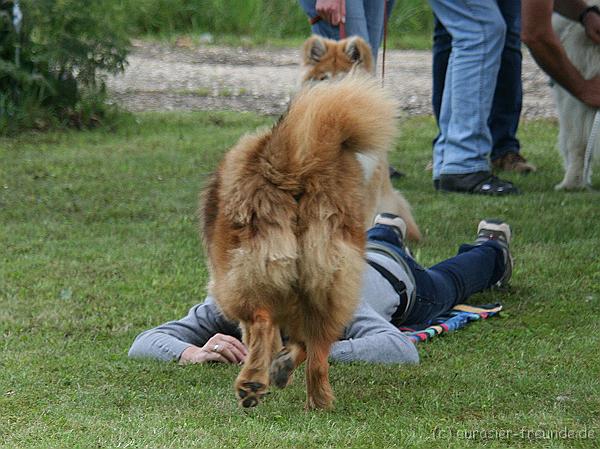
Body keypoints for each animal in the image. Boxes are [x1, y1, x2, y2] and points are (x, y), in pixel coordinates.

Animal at [200, 74, 398, 410]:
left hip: (236, 284)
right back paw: (313, 398)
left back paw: (252, 383)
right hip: (331, 282)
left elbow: (260, 334)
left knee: (262, 321)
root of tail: (292, 170)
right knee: (317, 351)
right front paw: (281, 365)